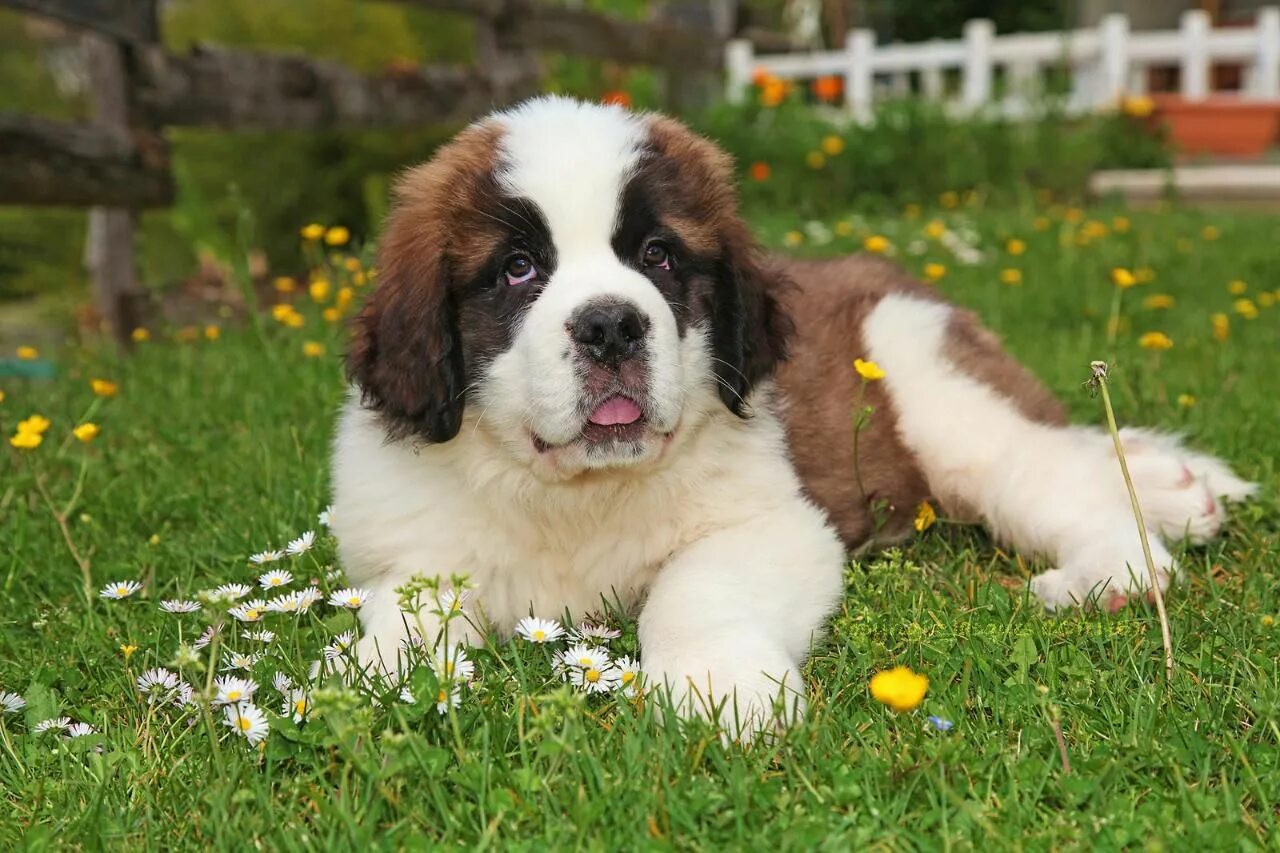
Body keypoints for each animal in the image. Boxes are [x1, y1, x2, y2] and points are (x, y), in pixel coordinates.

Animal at [327, 92, 1249, 732]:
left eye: (659, 256)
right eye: (518, 269)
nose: (611, 325)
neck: (575, 495)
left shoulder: (771, 522)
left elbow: (696, 589)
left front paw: (716, 688)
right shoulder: (415, 547)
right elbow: (400, 613)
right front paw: (362, 677)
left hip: (936, 395)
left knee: (1050, 472)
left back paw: (1111, 575)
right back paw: (1178, 490)